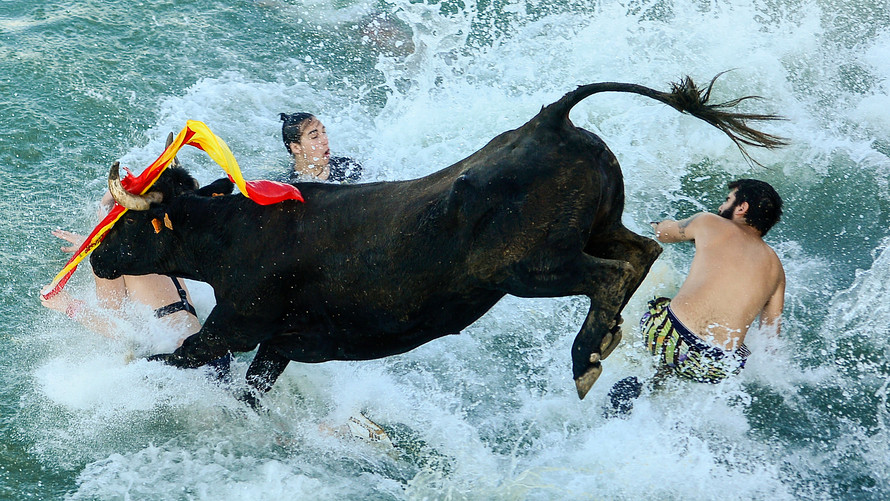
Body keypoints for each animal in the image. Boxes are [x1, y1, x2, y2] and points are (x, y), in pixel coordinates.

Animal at [90, 77, 780, 398]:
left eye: (126, 222)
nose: (95, 261)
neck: (236, 234)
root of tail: (548, 122)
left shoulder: (236, 326)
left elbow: (178, 354)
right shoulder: (281, 343)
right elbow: (250, 389)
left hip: (531, 267)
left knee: (610, 273)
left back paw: (586, 356)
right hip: (598, 227)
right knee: (643, 250)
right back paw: (600, 344)